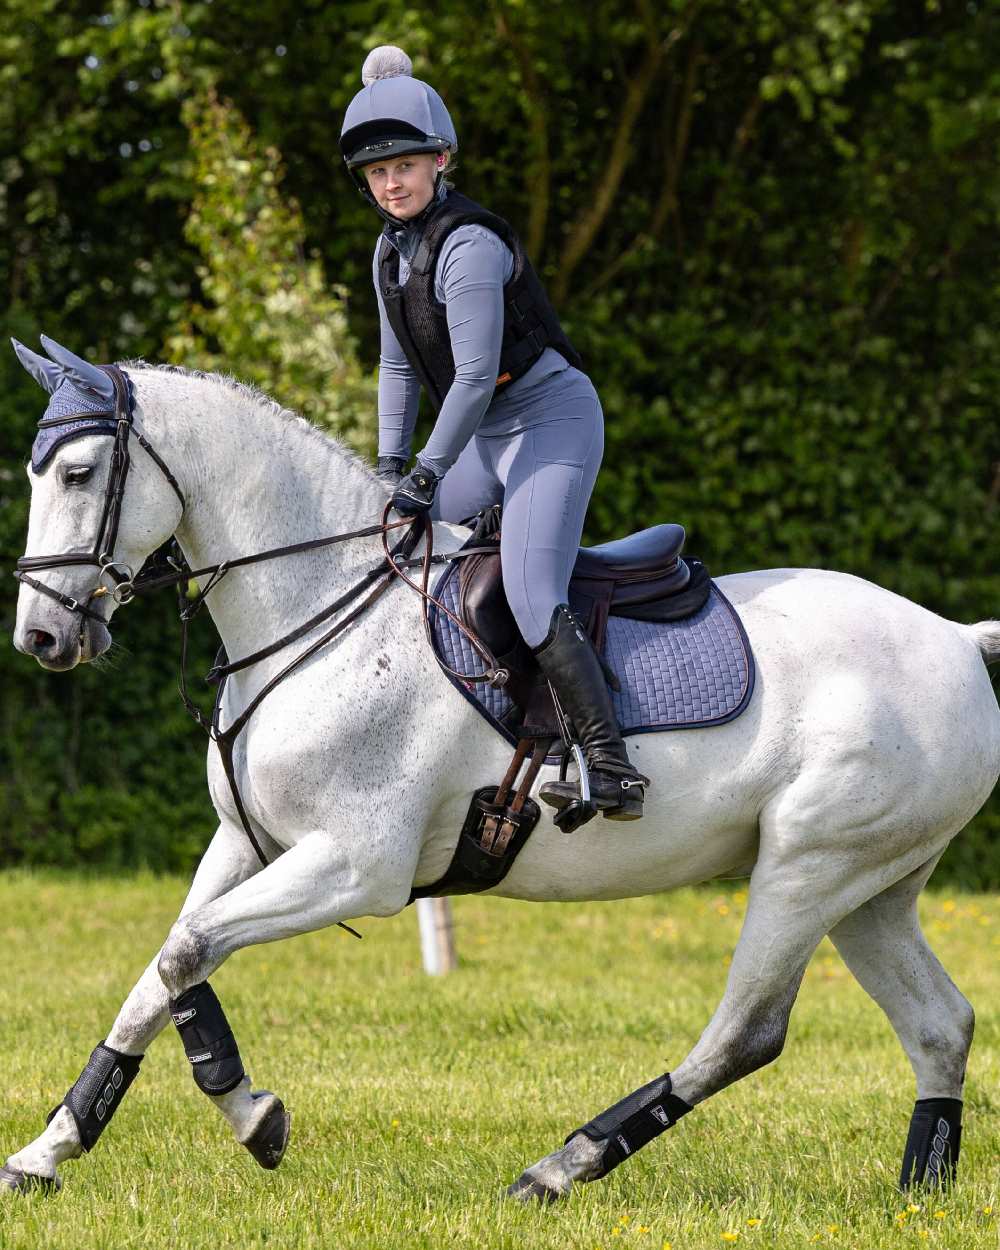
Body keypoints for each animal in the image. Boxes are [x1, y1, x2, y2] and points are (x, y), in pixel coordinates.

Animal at [7, 335, 1000, 1200]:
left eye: (79, 474)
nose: (42, 637)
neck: (322, 606)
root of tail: (955, 636)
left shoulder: (356, 867)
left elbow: (186, 956)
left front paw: (248, 1115)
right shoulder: (249, 844)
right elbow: (166, 969)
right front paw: (52, 1149)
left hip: (808, 867)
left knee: (745, 1033)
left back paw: (561, 1168)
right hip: (871, 889)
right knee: (940, 1024)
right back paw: (921, 1188)